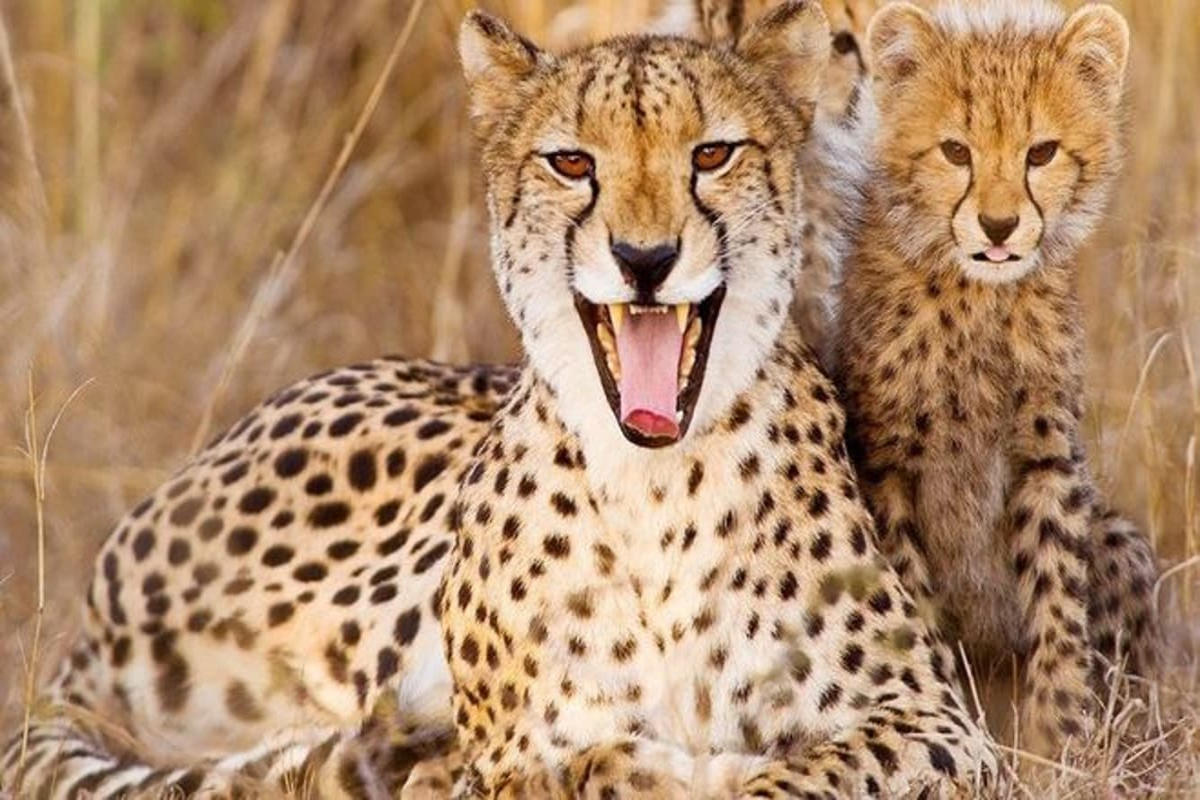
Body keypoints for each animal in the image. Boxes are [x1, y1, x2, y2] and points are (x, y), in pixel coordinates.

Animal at [2, 2, 996, 797]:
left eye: (712, 154)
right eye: (571, 162)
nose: (644, 259)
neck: (655, 485)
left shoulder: (941, 725)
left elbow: (818, 768)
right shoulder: (503, 753)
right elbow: (570, 765)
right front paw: (654, 769)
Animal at [836, 0, 1161, 761]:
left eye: (1041, 153)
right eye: (956, 152)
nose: (999, 225)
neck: (975, 299)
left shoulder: (1046, 457)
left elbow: (1058, 602)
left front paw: (1061, 744)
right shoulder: (886, 468)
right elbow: (916, 608)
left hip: (1120, 540)